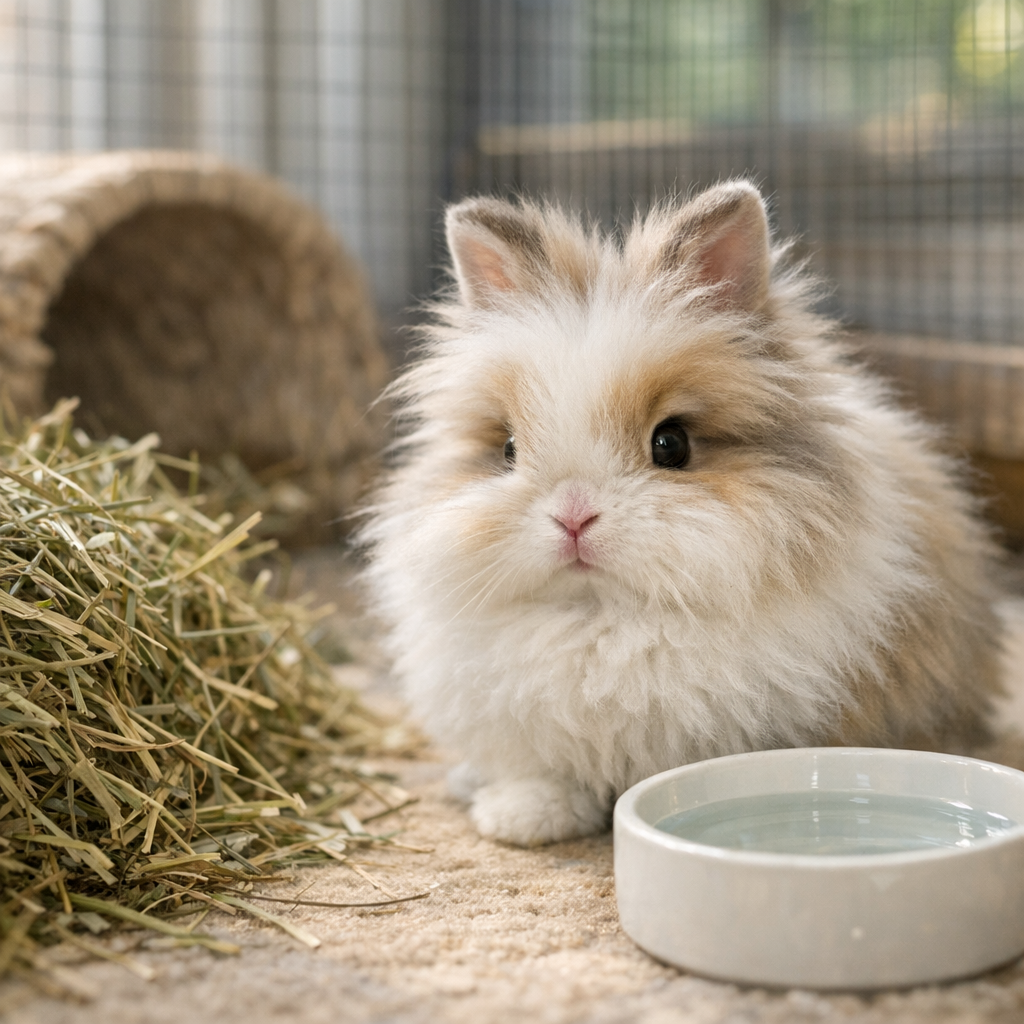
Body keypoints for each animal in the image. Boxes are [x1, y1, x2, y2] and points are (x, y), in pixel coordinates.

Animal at [359, 179, 1004, 848]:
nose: (573, 518)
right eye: (508, 449)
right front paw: (521, 821)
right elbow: (539, 774)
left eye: (671, 444)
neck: (603, 617)